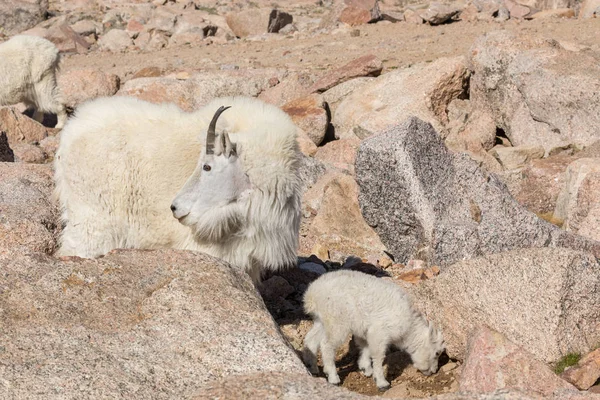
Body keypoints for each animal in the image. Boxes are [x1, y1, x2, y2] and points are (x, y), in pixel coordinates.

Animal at [302, 268, 442, 390]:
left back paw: (312, 368)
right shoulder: (380, 331)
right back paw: (333, 377)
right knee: (327, 344)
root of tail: (311, 294)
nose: (433, 371)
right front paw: (382, 382)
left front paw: (365, 369)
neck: (409, 327)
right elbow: (378, 355)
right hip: (337, 320)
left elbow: (365, 347)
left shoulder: (367, 331)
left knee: (311, 340)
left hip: (322, 320)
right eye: (437, 353)